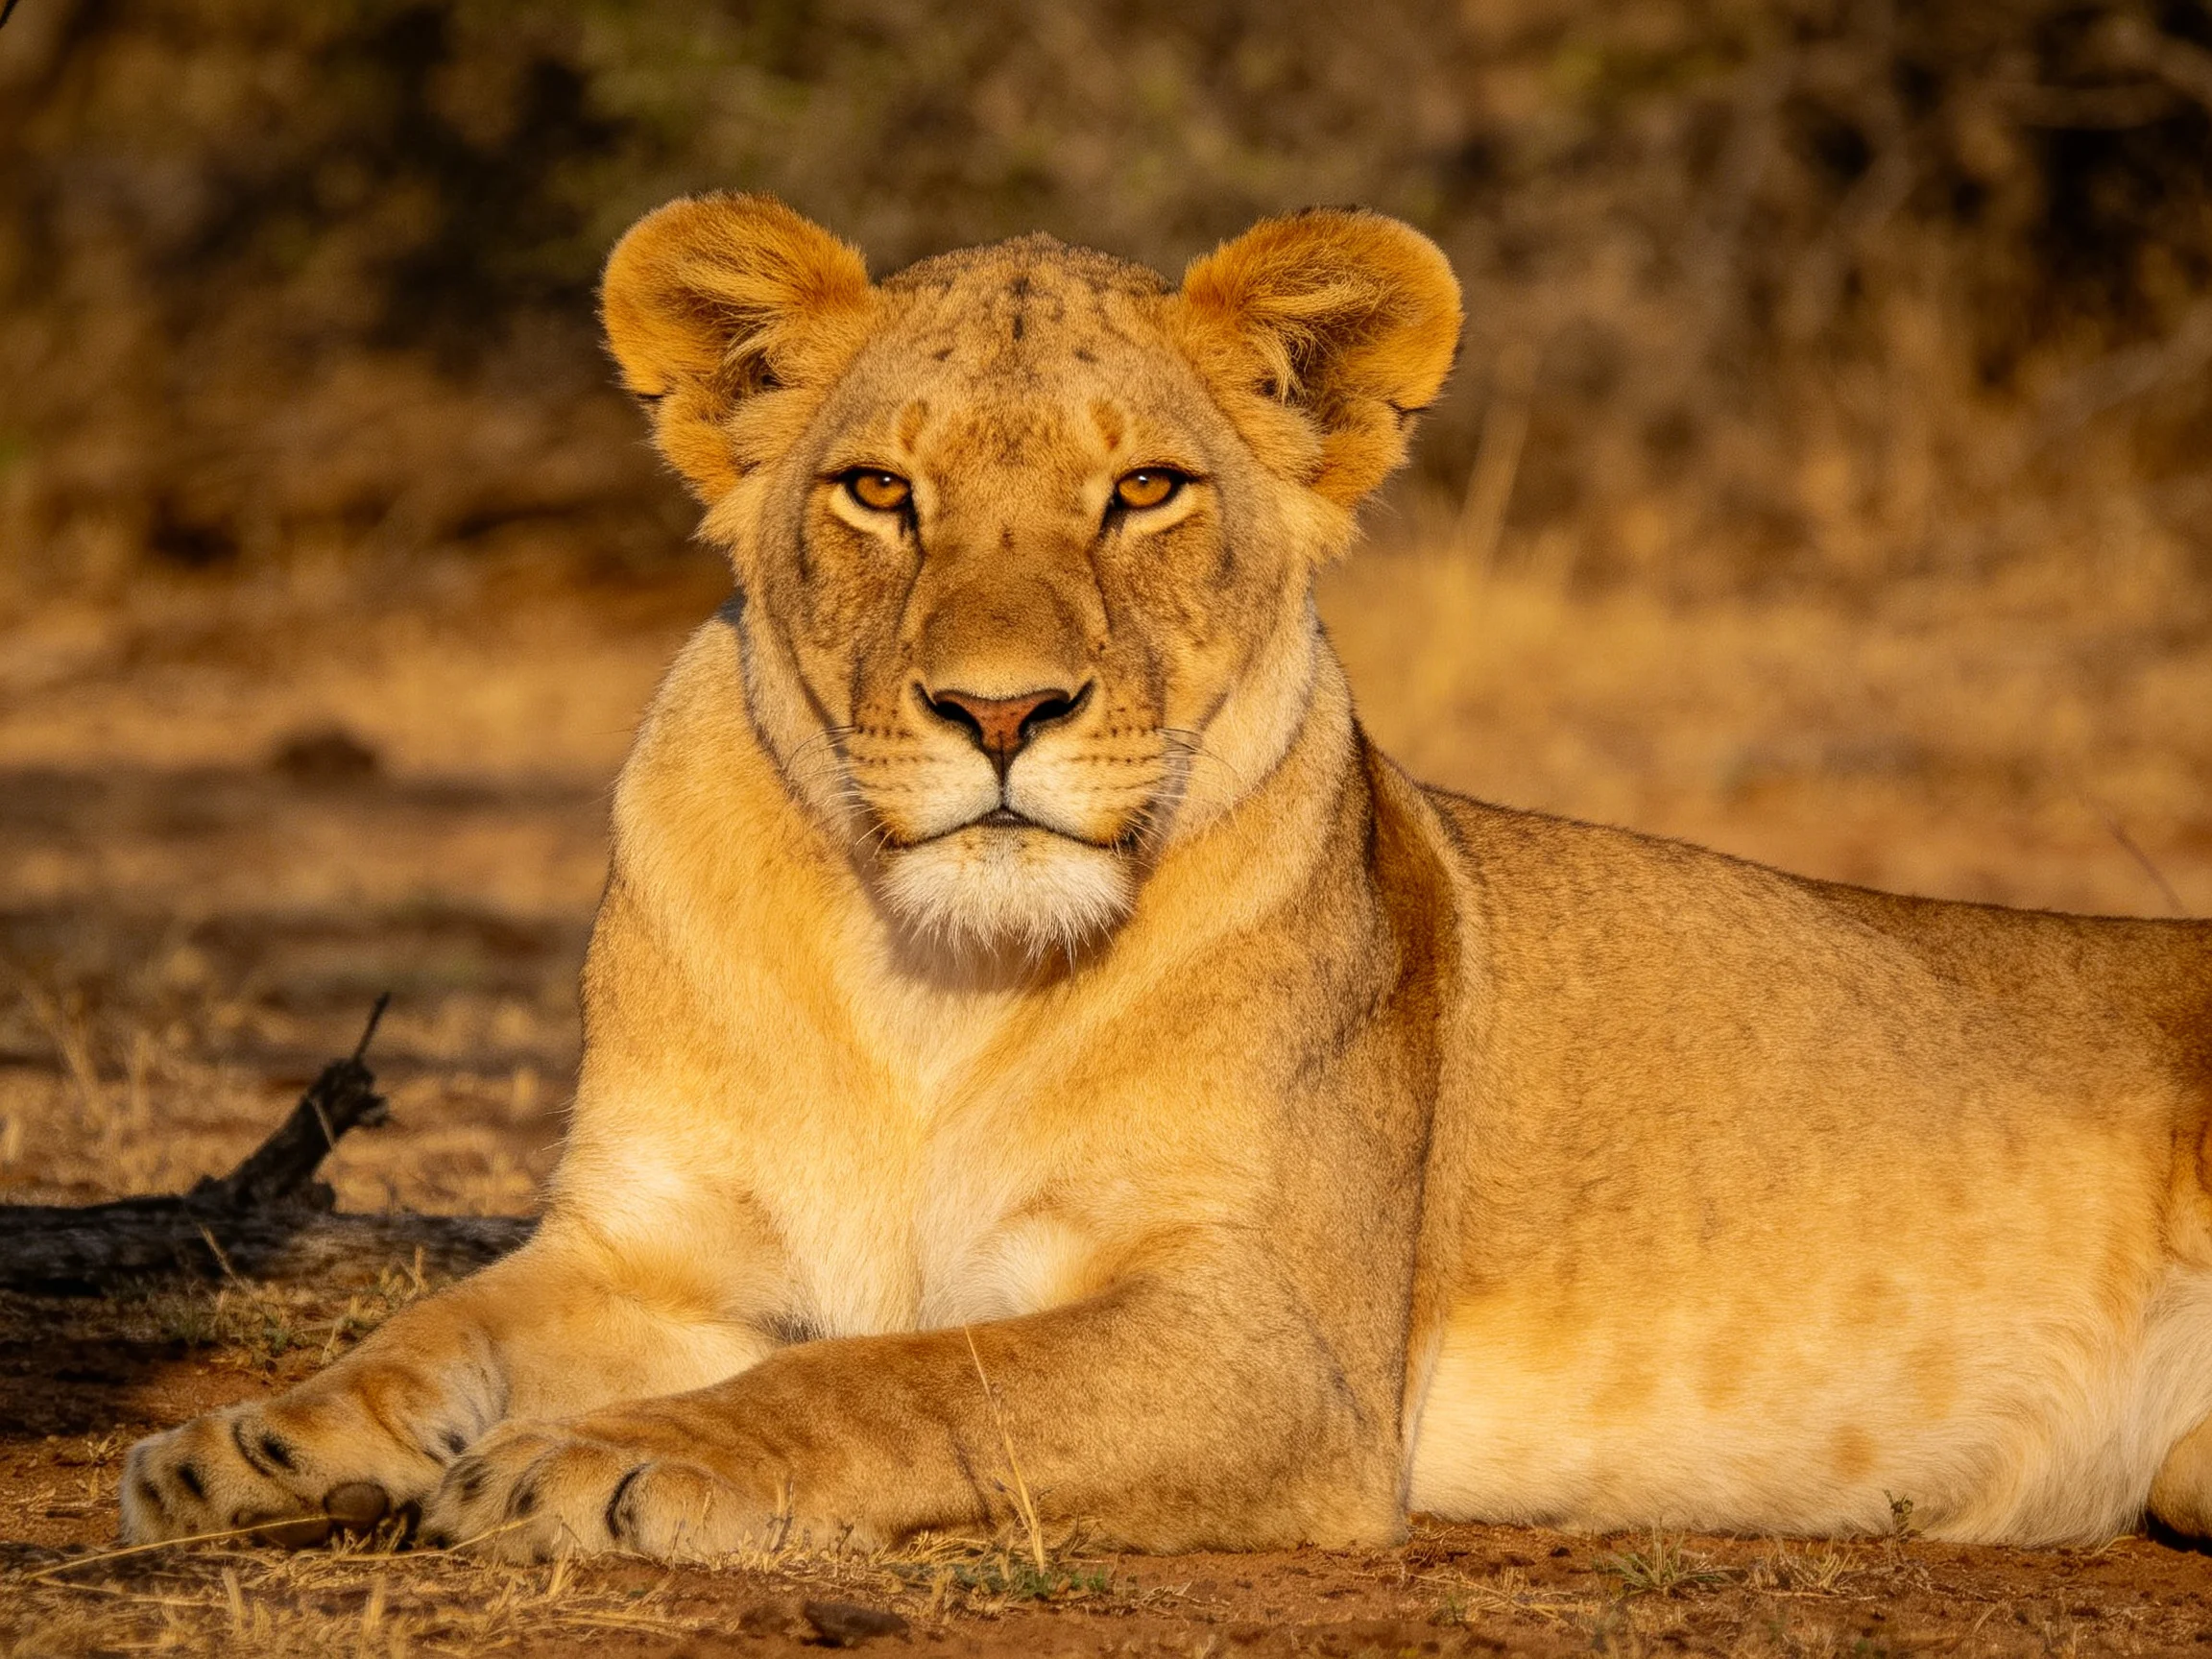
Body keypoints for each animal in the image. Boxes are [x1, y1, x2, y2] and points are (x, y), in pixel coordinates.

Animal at [119, 195, 2212, 1562]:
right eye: (878, 491)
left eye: (1143, 493)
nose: (998, 708)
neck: (926, 987)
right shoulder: (654, 1243)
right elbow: (437, 1328)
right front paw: (248, 1446)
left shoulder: (1271, 1343)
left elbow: (915, 1372)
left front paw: (591, 1461)